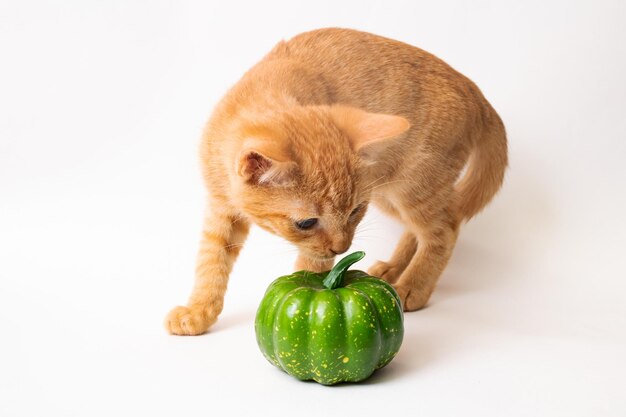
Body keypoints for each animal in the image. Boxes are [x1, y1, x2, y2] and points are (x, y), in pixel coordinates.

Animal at [165, 27, 508, 334]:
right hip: (390, 193)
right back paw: (394, 268)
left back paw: (413, 286)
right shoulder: (220, 207)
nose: (342, 247)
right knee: (422, 228)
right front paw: (199, 311)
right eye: (306, 223)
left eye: (355, 211)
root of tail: (479, 96)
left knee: (444, 229)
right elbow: (211, 260)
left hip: (415, 187)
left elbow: (312, 266)